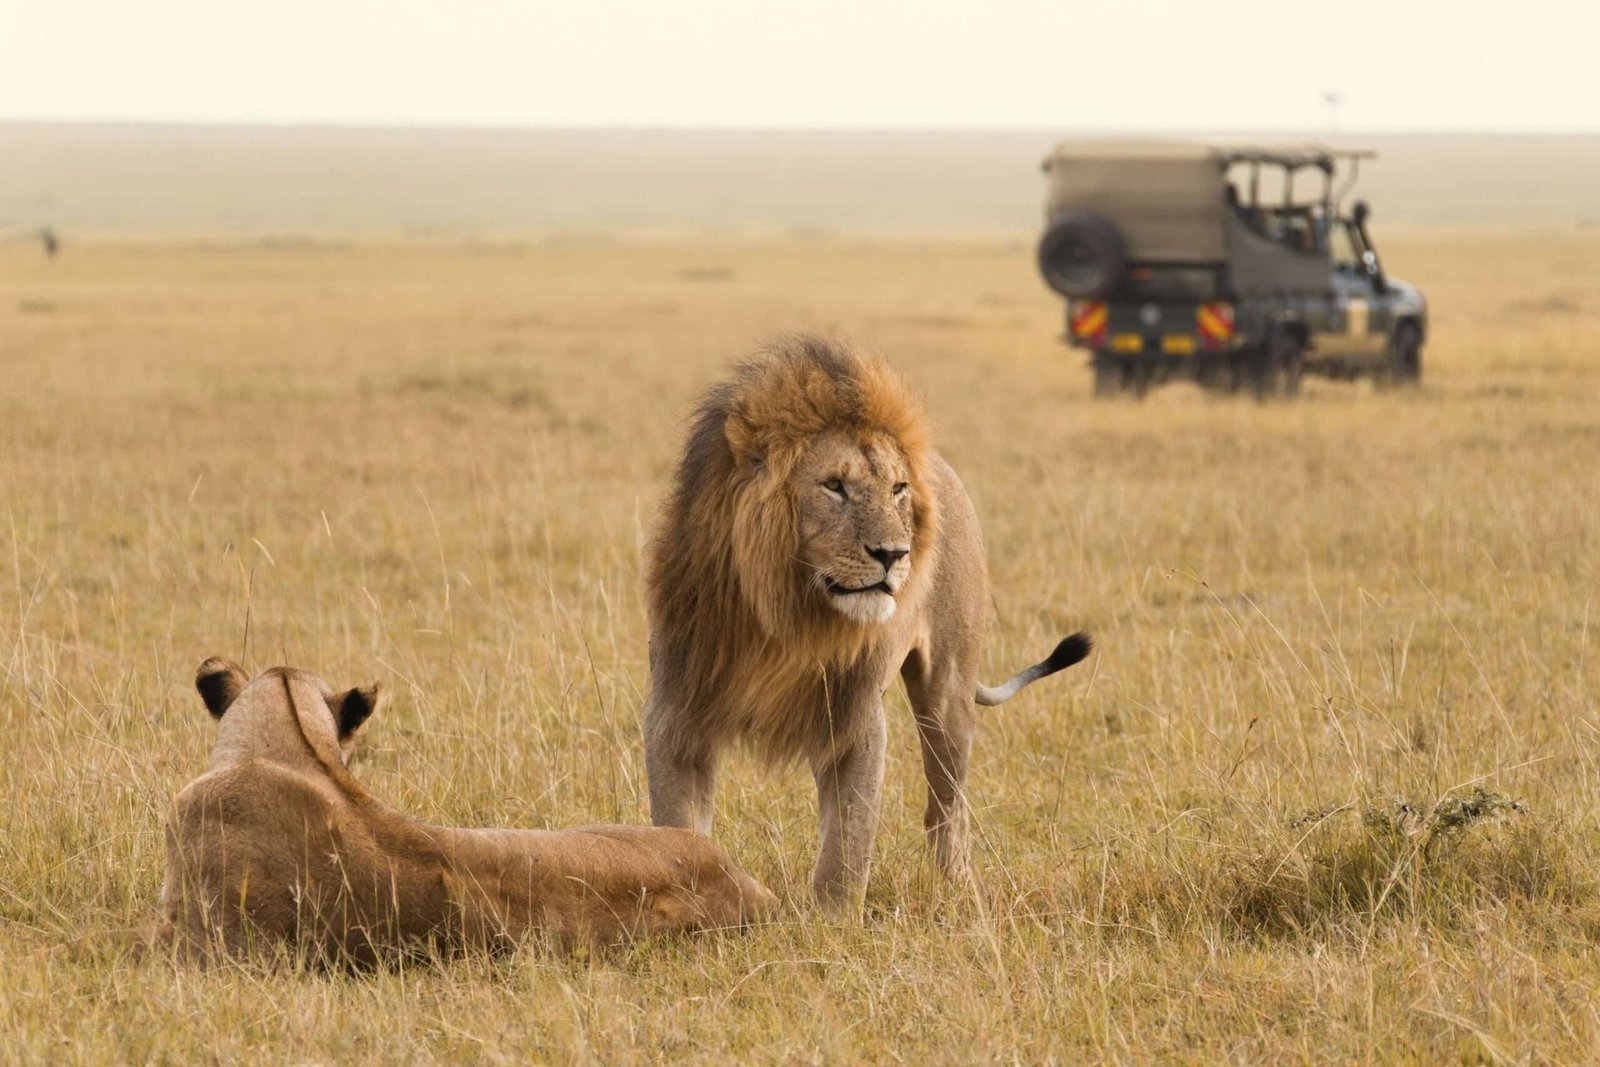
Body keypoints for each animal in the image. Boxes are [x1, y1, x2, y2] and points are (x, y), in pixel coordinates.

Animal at [643, 337, 1094, 915]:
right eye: (834, 486)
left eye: (897, 489)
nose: (894, 554)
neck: (786, 616)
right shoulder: (676, 712)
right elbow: (678, 829)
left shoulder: (855, 717)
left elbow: (848, 841)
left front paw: (831, 923)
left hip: (948, 693)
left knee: (946, 807)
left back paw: (958, 892)